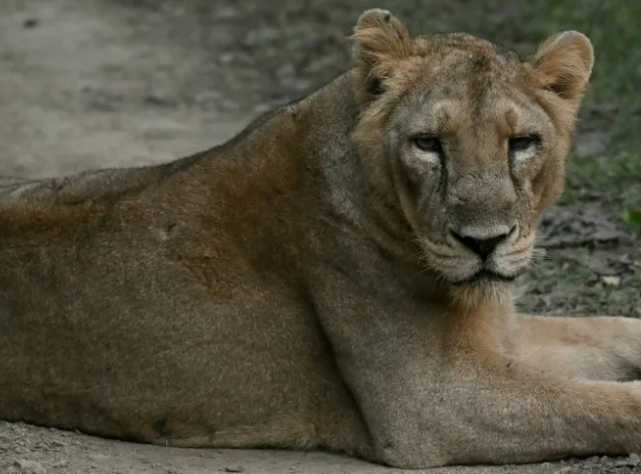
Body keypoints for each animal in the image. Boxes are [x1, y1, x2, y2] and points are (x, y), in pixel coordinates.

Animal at [1, 8, 641, 469]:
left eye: (522, 143)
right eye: (428, 144)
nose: (483, 242)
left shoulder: (496, 338)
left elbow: (610, 330)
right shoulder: (432, 400)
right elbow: (600, 403)